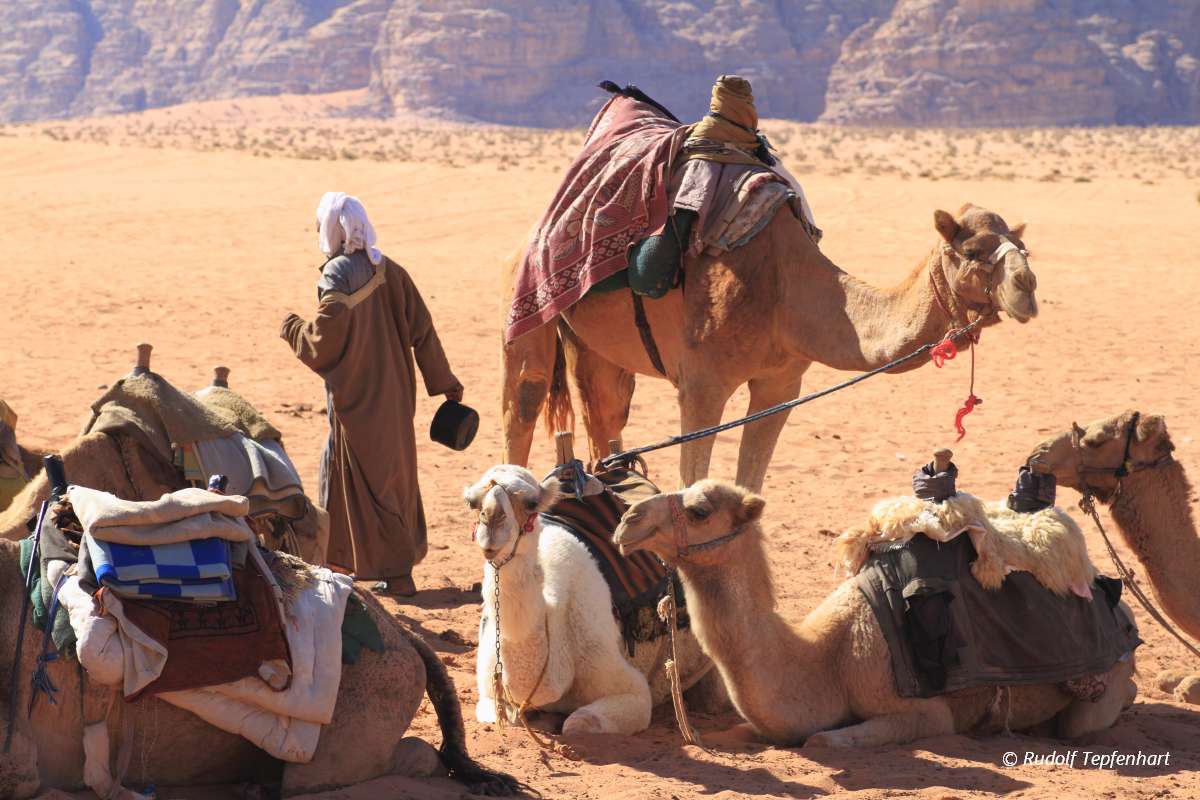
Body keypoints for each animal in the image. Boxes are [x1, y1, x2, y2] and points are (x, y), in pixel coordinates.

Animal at [466, 465, 714, 736]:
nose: (491, 522)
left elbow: (577, 723)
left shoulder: (632, 691)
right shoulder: (489, 693)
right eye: (472, 503)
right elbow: (509, 719)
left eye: (531, 503)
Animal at [502, 203, 1038, 491]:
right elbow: (691, 482)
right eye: (972, 251)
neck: (787, 292)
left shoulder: (781, 385)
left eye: (1023, 247)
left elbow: (751, 485)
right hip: (527, 304)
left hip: (595, 345)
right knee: (523, 405)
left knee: (605, 412)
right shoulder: (702, 384)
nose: (1027, 287)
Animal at [612, 479, 1137, 747]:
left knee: (1088, 719)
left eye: (699, 510)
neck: (826, 657)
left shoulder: (925, 713)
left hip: (1104, 680)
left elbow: (822, 740)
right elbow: (737, 732)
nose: (627, 521)